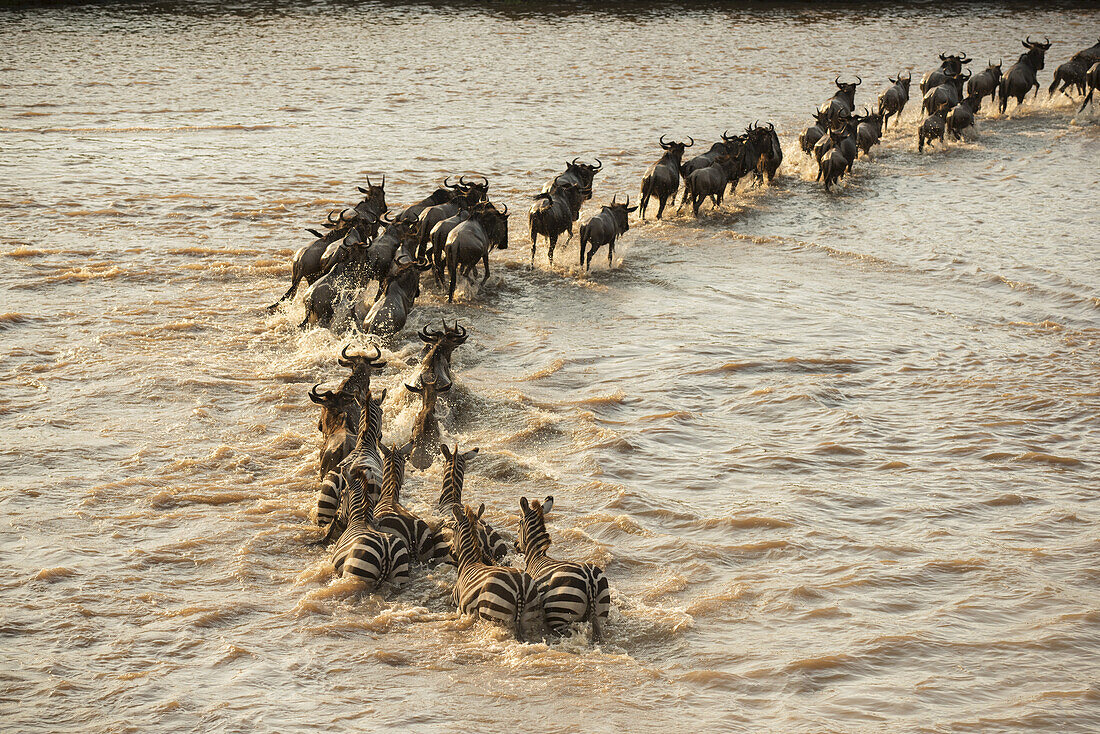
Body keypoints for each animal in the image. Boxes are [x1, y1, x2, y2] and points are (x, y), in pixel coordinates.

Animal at [448, 501, 539, 638]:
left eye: (453, 529)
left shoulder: (457, 605)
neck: (469, 561)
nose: (451, 552)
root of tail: (520, 588)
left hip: (492, 612)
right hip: (530, 617)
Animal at [514, 497, 611, 638]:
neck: (536, 556)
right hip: (601, 614)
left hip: (559, 614)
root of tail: (589, 579)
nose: (515, 545)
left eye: (519, 524)